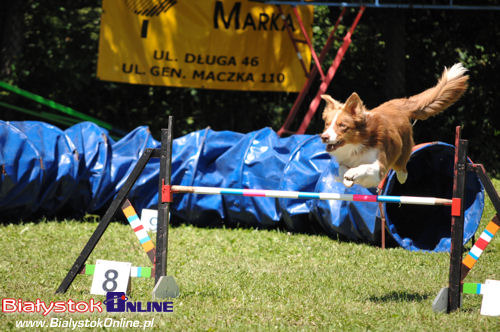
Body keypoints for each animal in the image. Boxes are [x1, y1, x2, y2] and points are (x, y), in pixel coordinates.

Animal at [320, 62, 468, 187]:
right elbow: (341, 169)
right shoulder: (345, 161)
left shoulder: (380, 167)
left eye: (342, 126)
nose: (324, 137)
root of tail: (400, 104)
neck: (357, 144)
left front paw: (352, 173)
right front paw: (347, 178)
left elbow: (365, 167)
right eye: (327, 124)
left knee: (403, 170)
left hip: (401, 156)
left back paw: (402, 176)